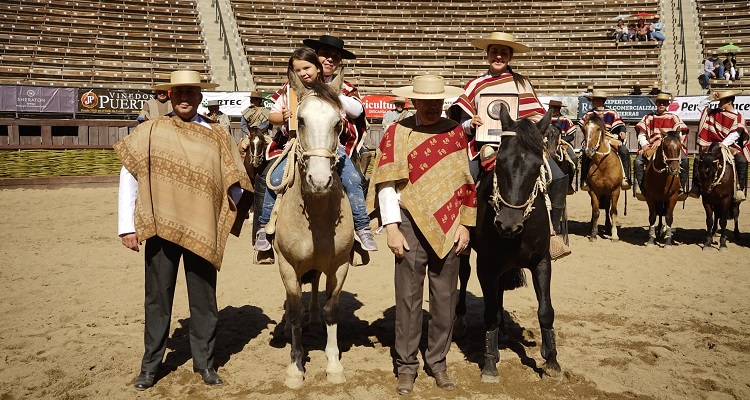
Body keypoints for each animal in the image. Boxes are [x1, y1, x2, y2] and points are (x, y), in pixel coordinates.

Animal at [268, 71, 354, 388]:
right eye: (301, 120)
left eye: (338, 123)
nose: (319, 180)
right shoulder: (286, 264)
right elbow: (294, 311)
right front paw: (295, 368)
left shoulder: (340, 265)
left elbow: (332, 311)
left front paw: (334, 365)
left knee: (315, 284)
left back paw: (314, 319)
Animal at [464, 104, 564, 382]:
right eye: (499, 162)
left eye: (537, 165)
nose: (507, 224)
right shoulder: (486, 266)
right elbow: (490, 314)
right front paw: (489, 363)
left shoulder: (541, 262)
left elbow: (546, 311)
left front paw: (552, 361)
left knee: (499, 294)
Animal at [584, 114, 624, 242]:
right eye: (584, 129)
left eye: (597, 129)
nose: (589, 150)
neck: (604, 165)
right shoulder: (594, 191)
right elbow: (596, 211)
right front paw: (593, 234)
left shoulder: (615, 190)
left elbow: (613, 212)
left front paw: (614, 234)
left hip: (608, 192)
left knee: (607, 208)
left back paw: (607, 227)